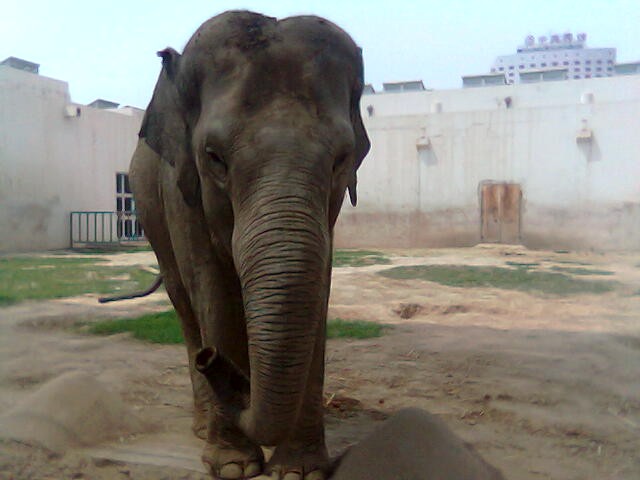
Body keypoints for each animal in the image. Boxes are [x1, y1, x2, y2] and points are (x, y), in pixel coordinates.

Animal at [129, 10, 370, 480]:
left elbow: (317, 290)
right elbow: (213, 290)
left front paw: (297, 471)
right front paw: (234, 467)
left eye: (341, 159)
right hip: (153, 220)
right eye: (214, 157)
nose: (211, 361)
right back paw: (203, 426)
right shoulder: (181, 191)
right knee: (184, 301)